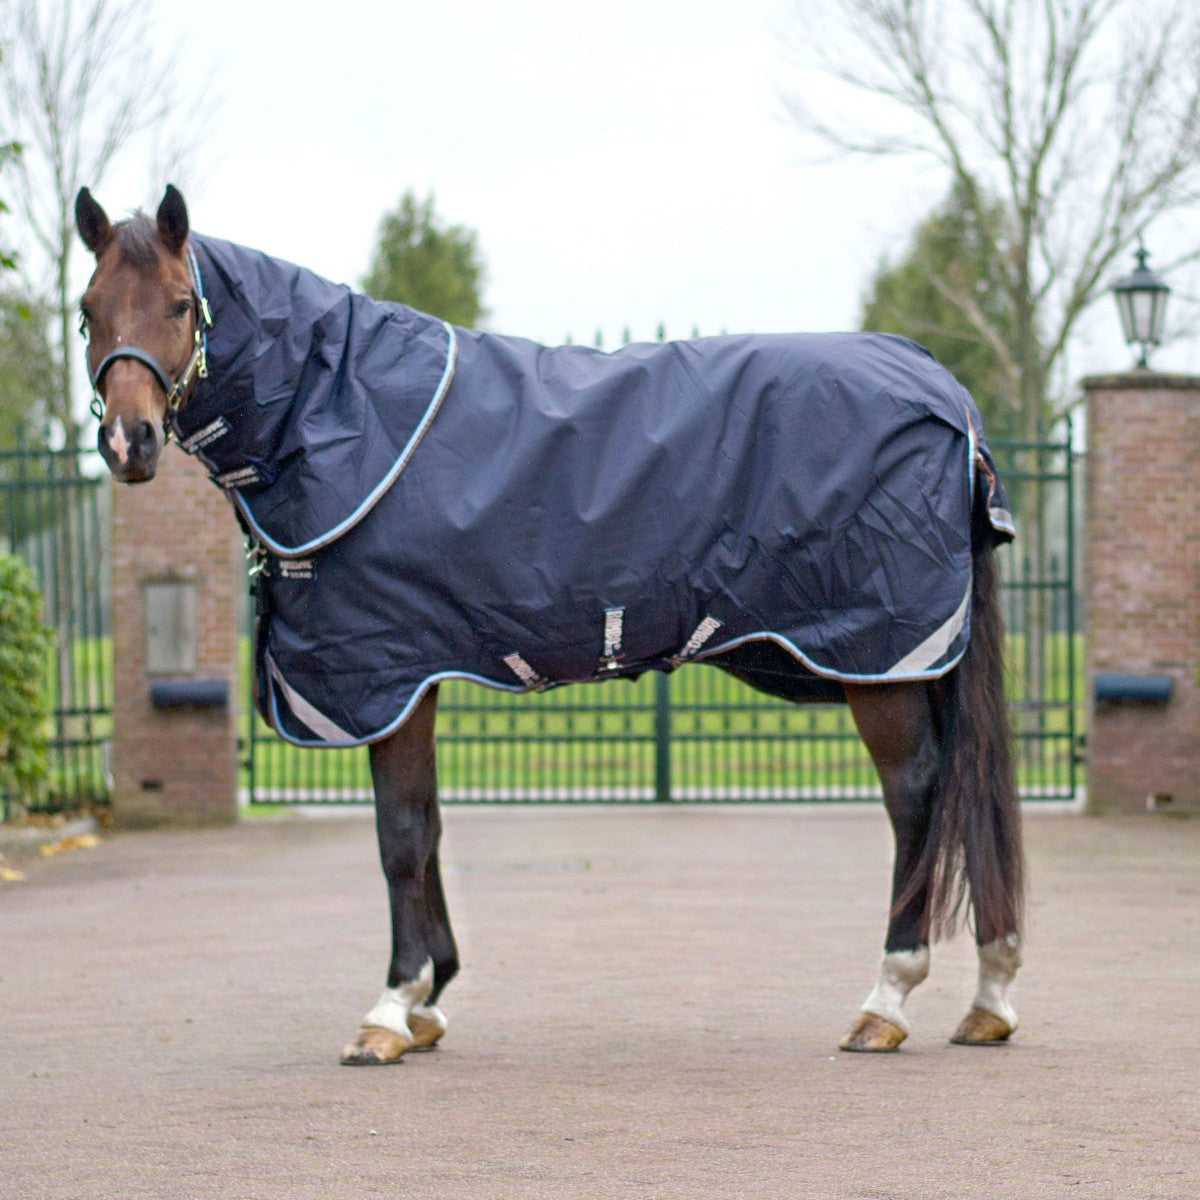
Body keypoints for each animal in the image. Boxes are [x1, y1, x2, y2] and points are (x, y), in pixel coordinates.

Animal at [76, 184, 1024, 1064]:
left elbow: (401, 836)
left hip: (881, 654)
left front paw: (391, 1008)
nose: (130, 442)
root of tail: (946, 393)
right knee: (968, 792)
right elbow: (430, 829)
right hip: (913, 660)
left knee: (917, 796)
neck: (345, 408)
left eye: (180, 304)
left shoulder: (390, 676)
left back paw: (887, 1000)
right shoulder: (418, 678)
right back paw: (990, 996)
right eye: (87, 309)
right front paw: (430, 1002)